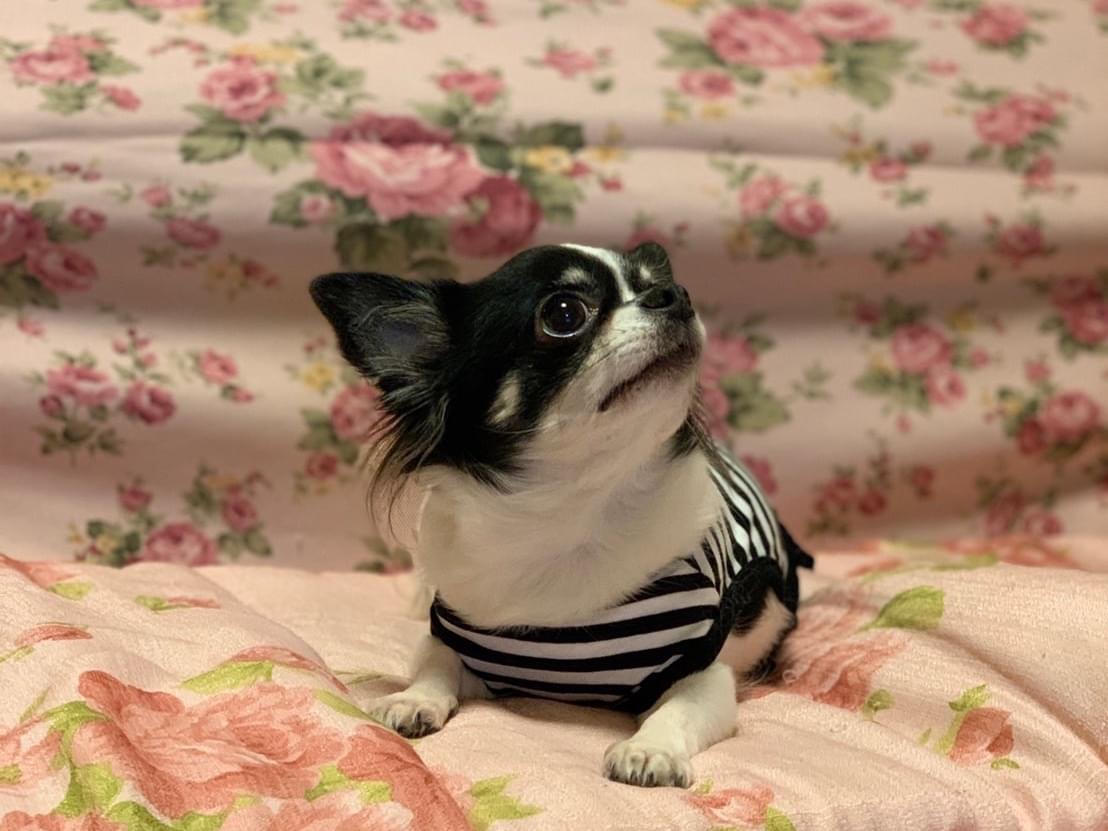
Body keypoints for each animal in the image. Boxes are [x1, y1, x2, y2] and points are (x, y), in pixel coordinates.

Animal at [310, 242, 813, 788]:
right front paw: (412, 700)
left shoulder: (704, 671)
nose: (675, 293)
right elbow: (434, 663)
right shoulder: (455, 638)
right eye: (564, 314)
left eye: (653, 283)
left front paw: (649, 750)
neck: (569, 510)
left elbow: (676, 711)